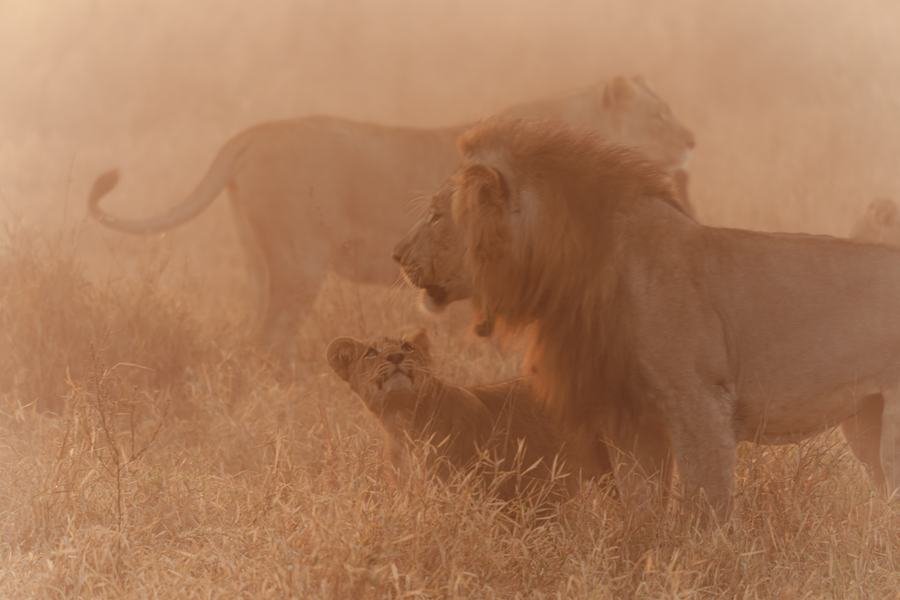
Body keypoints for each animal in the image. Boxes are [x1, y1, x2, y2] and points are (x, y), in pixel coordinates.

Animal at [87, 76, 695, 358]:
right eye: (659, 117)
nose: (692, 139)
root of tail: (255, 132)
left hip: (256, 257)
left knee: (253, 333)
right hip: (300, 261)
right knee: (273, 337)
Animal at [393, 118, 900, 518]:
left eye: (436, 216)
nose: (396, 254)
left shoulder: (700, 403)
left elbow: (705, 508)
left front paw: (709, 567)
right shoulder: (632, 417)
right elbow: (642, 508)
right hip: (865, 420)